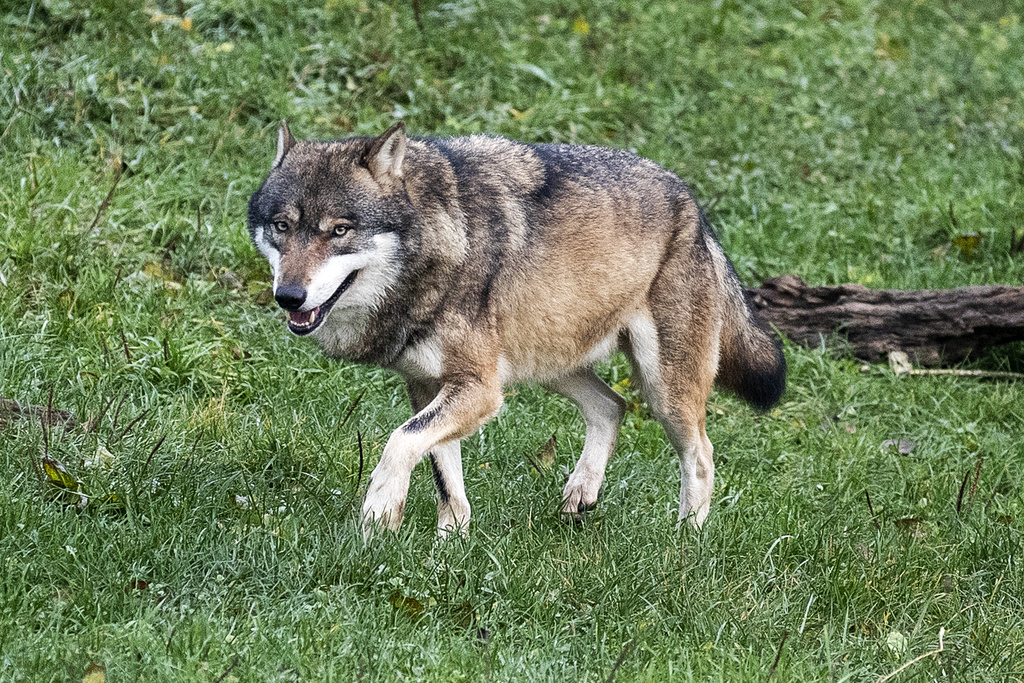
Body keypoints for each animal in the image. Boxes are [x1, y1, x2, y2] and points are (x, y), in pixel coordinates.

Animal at [245, 121, 782, 540]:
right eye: (282, 227)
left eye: (339, 230)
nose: (288, 296)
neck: (440, 247)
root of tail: (693, 205)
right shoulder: (427, 385)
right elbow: (444, 475)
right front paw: (451, 546)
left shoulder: (479, 390)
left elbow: (399, 442)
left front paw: (379, 513)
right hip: (551, 363)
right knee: (612, 406)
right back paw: (581, 493)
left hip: (663, 390)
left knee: (701, 455)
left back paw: (685, 540)